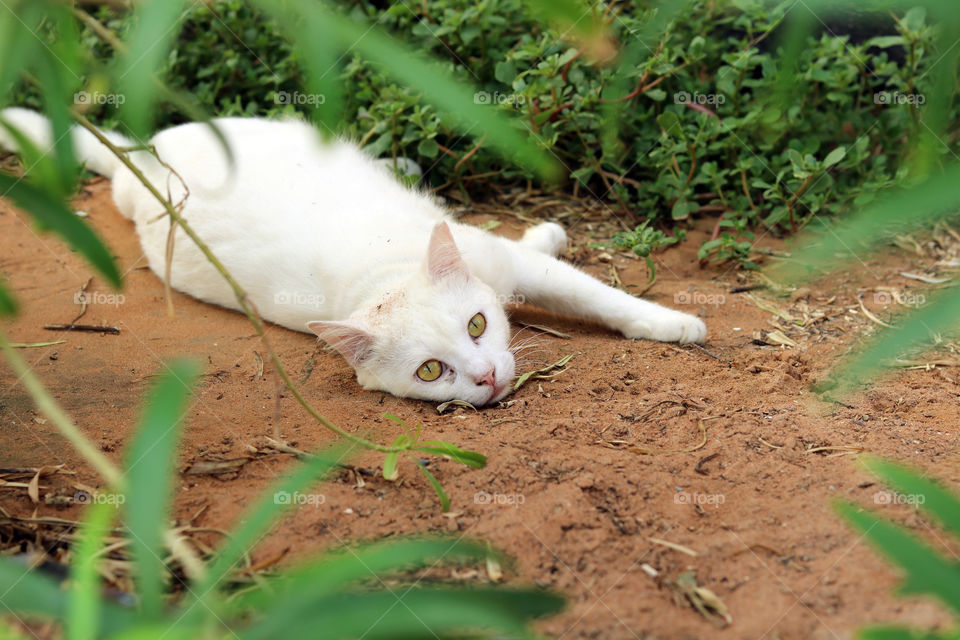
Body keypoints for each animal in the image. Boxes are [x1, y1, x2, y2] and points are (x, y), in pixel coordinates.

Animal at [0, 107, 704, 402]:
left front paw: (674, 323)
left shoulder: (509, 264)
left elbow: (598, 294)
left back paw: (401, 164)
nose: (484, 377)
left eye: (477, 325)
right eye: (431, 371)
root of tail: (143, 158)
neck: (383, 275)